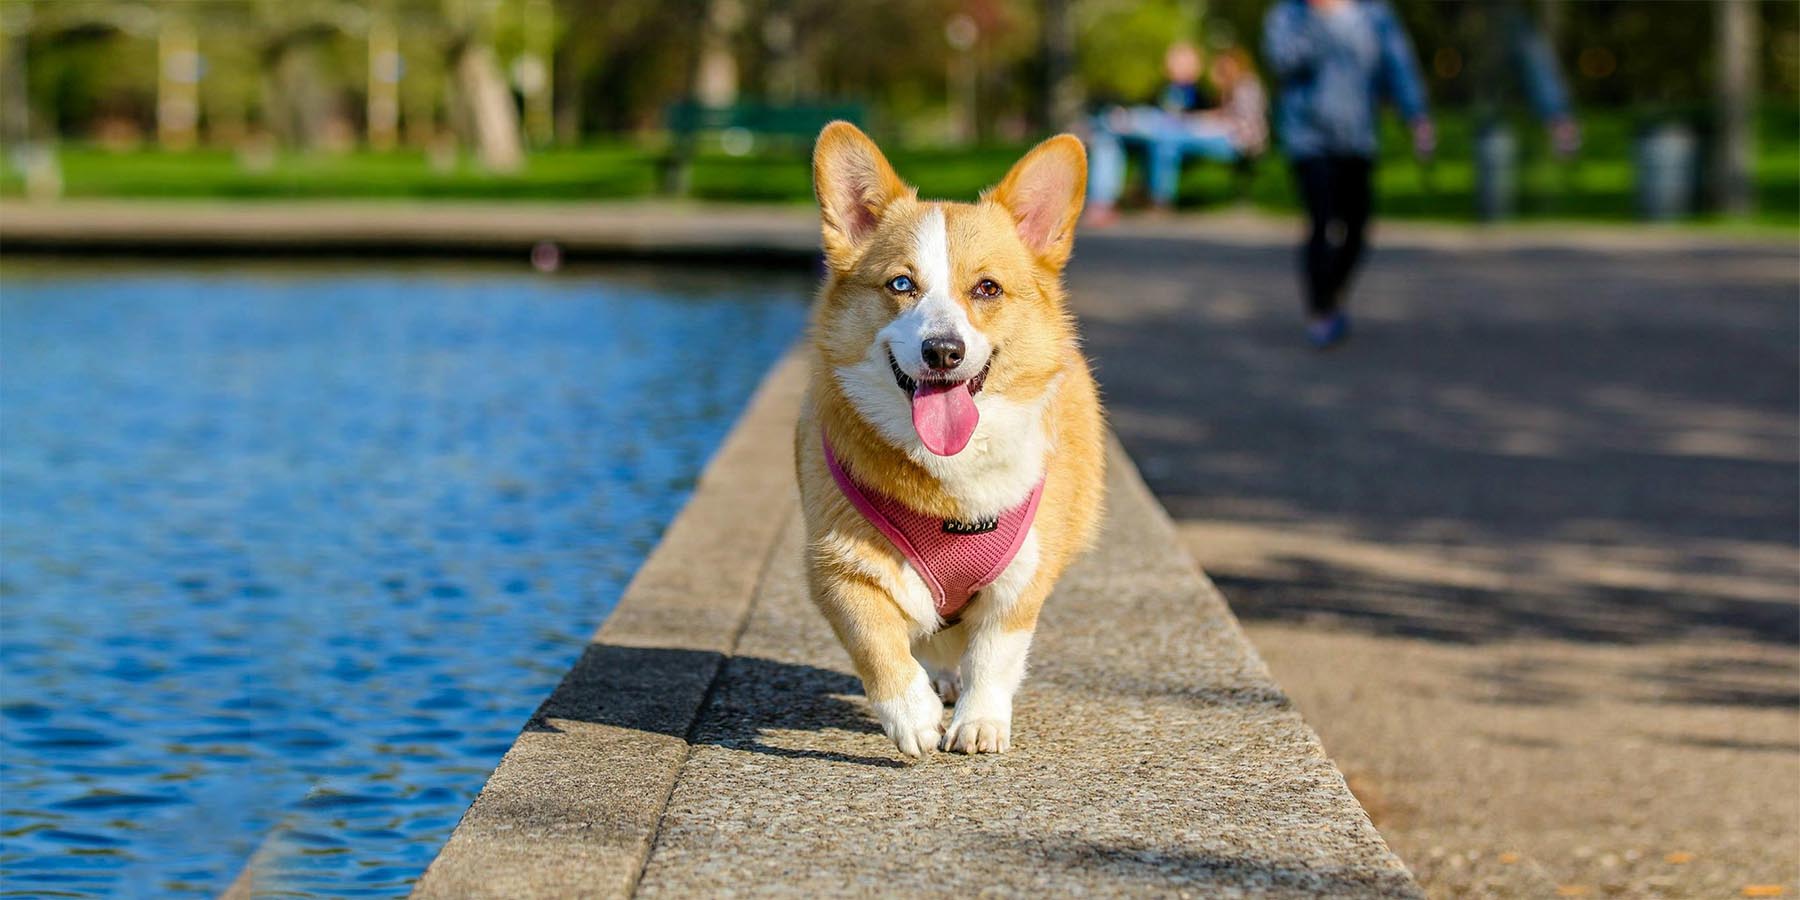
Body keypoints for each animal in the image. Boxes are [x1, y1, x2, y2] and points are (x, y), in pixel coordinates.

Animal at [795, 121, 1101, 759]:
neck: (950, 478)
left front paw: (979, 722)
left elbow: (994, 654)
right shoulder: (836, 566)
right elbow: (877, 643)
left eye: (986, 288)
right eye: (901, 284)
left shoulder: (1022, 578)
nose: (943, 351)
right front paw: (911, 715)